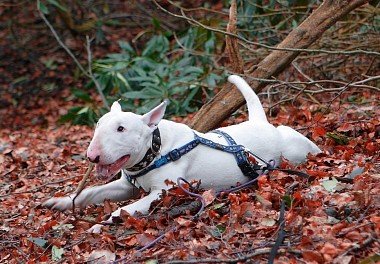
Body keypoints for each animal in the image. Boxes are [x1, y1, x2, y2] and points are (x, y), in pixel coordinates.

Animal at [43, 75, 320, 232]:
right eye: (98, 124)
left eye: (121, 128)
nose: (92, 156)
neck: (155, 151)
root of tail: (260, 121)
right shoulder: (126, 185)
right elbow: (91, 192)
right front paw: (62, 201)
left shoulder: (163, 191)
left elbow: (126, 209)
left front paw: (100, 225)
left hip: (292, 144)